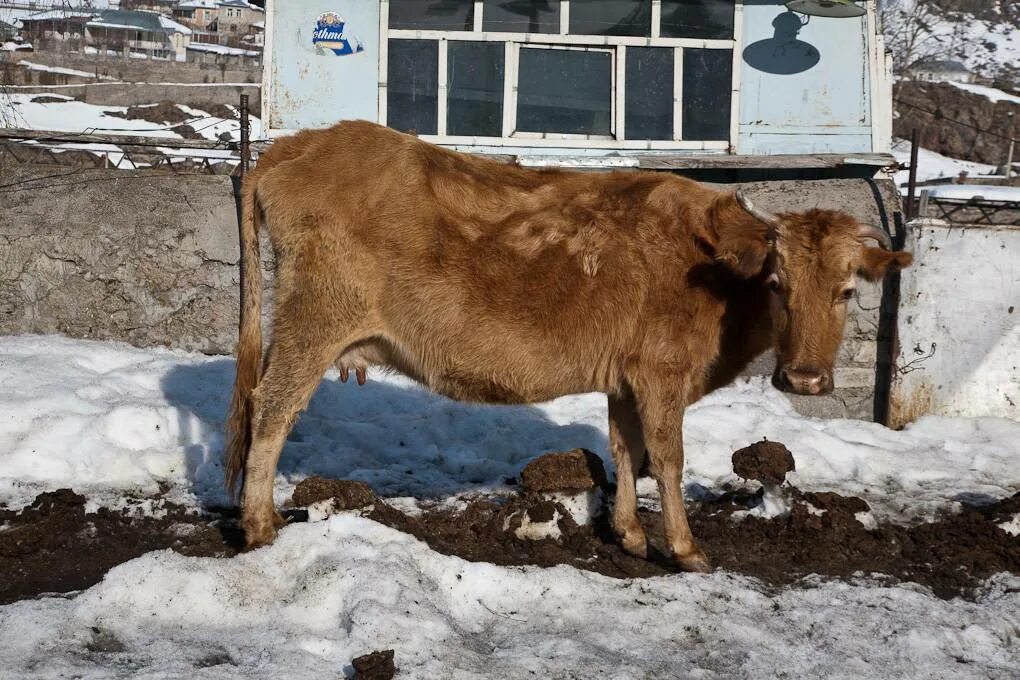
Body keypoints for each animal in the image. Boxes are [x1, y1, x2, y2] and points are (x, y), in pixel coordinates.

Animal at [227, 120, 913, 570]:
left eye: (847, 290)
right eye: (778, 283)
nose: (804, 380)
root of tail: (296, 145)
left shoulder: (627, 378)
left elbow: (626, 450)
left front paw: (631, 536)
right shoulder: (661, 372)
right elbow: (668, 459)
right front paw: (686, 549)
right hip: (314, 320)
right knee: (273, 408)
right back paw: (259, 525)